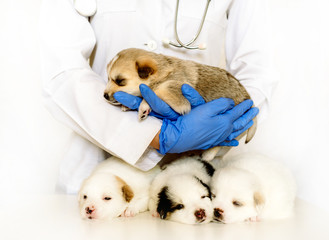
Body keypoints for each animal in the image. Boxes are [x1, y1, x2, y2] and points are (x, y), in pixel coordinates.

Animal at [102, 47, 256, 161]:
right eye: (108, 78)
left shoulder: (178, 96)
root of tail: (251, 102)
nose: (104, 95)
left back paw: (208, 154)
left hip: (232, 127)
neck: (164, 71)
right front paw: (133, 105)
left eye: (120, 81)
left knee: (223, 140)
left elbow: (155, 91)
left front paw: (143, 104)